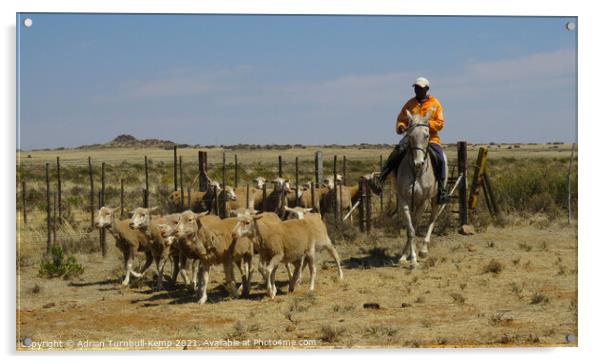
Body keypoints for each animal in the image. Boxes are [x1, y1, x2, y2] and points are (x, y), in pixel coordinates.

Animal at [394, 108, 446, 268]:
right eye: (410, 136)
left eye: (427, 135)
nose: (419, 163)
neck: (416, 172)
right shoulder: (404, 200)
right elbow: (411, 230)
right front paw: (410, 257)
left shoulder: (424, 201)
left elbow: (417, 226)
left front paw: (415, 256)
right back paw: (405, 255)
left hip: (435, 199)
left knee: (432, 219)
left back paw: (423, 250)